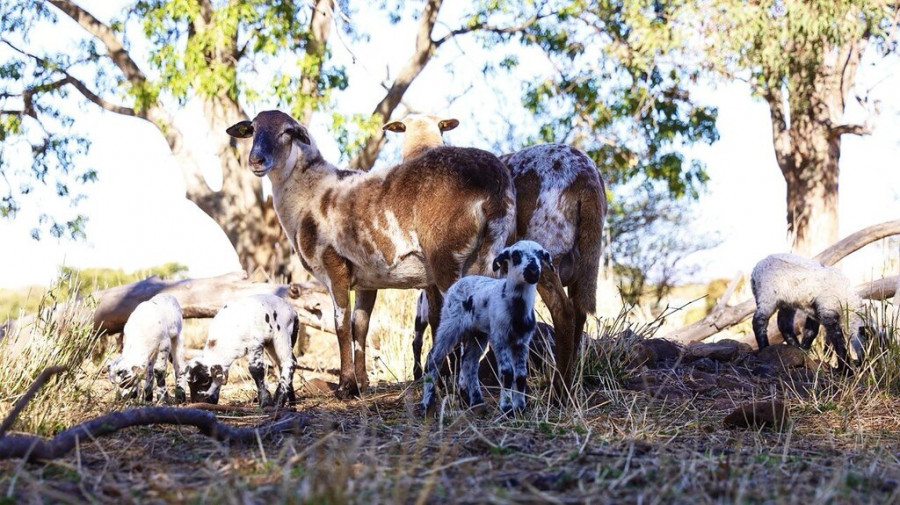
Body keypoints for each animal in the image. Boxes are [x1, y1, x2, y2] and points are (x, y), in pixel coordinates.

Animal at [424, 240, 556, 414]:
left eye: (541, 255)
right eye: (515, 255)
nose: (533, 269)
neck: (515, 307)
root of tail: (460, 282)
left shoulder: (522, 341)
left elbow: (521, 375)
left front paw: (520, 407)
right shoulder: (499, 338)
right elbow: (507, 373)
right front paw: (507, 408)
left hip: (477, 334)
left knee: (469, 362)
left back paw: (477, 402)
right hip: (449, 325)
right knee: (434, 358)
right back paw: (427, 404)